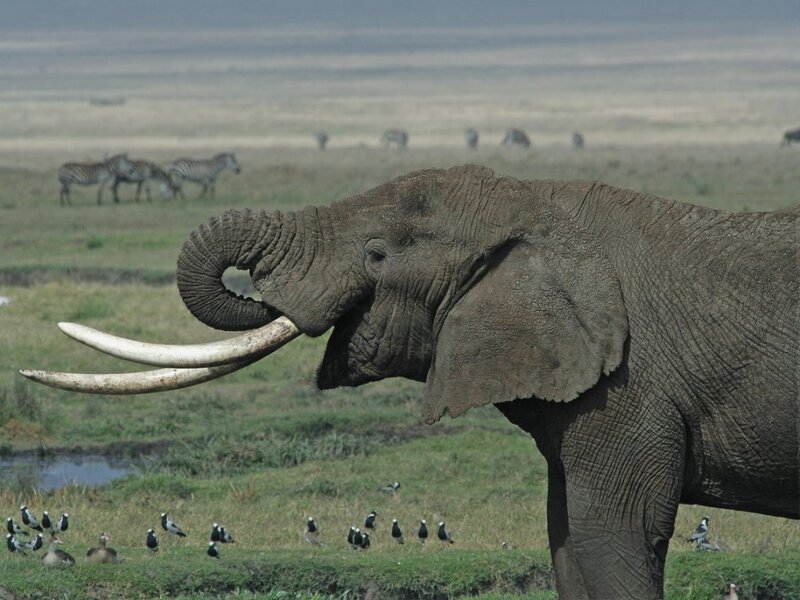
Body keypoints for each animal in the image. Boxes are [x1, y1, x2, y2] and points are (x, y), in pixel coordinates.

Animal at [21, 164, 799, 599]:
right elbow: (567, 543)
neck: (534, 202)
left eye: (376, 254)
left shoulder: (630, 386)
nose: (259, 291)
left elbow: (613, 538)